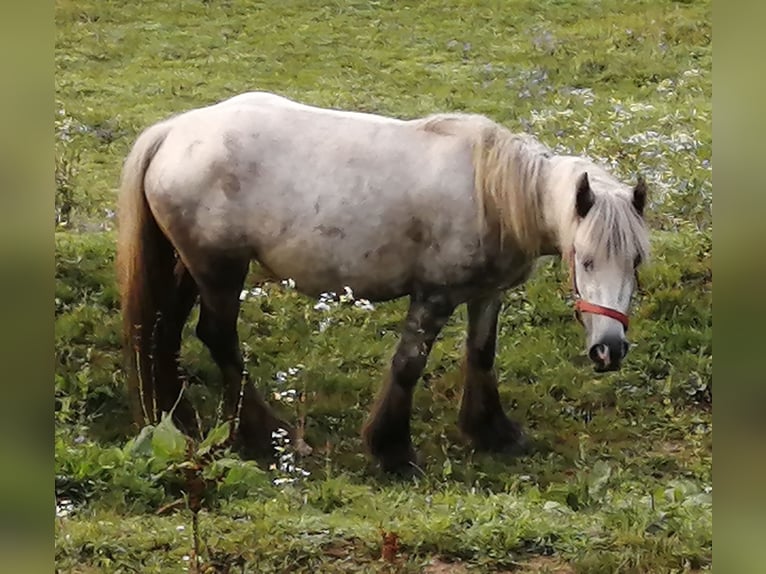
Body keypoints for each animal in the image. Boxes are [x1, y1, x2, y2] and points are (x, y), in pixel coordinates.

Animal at [117, 92, 652, 474]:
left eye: (636, 262)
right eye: (585, 260)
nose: (609, 351)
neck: (492, 196)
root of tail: (173, 131)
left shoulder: (486, 294)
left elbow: (481, 356)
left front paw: (491, 431)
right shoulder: (433, 296)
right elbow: (408, 365)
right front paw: (392, 450)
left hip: (189, 268)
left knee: (165, 333)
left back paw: (178, 420)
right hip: (220, 271)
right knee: (217, 336)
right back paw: (266, 434)